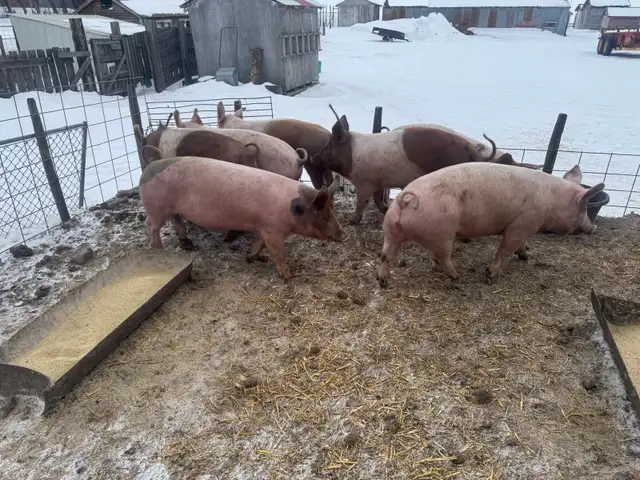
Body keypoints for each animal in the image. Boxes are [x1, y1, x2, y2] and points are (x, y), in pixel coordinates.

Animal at [139, 156, 345, 281]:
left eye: (334, 211)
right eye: (324, 216)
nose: (345, 235)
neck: (293, 210)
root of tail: (145, 172)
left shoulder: (264, 227)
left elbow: (259, 243)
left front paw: (252, 257)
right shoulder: (272, 229)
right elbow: (278, 252)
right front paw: (289, 276)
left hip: (170, 208)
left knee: (175, 220)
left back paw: (188, 244)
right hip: (157, 207)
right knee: (151, 225)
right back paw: (157, 249)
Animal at [308, 106, 503, 225]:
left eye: (328, 146)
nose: (314, 158)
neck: (352, 155)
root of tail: (472, 150)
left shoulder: (365, 181)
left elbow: (362, 201)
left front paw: (352, 220)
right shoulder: (379, 181)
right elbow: (378, 199)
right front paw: (386, 210)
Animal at [376, 163, 605, 287]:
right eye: (583, 208)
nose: (593, 228)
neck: (552, 202)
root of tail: (406, 198)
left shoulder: (525, 228)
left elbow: (521, 246)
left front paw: (526, 256)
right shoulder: (521, 225)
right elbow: (504, 250)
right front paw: (490, 275)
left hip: (391, 229)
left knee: (386, 255)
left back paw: (383, 282)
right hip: (442, 234)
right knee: (442, 257)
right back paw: (457, 276)